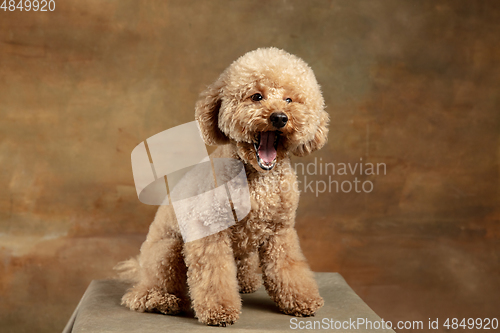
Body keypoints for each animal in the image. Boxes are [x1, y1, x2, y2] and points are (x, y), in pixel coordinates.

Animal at [116, 46, 328, 324]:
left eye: (290, 100)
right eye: (256, 96)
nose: (279, 117)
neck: (258, 179)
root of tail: (139, 267)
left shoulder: (280, 232)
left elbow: (288, 268)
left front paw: (301, 300)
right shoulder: (209, 230)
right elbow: (214, 274)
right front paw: (219, 310)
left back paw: (246, 282)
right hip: (167, 251)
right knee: (141, 294)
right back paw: (163, 300)